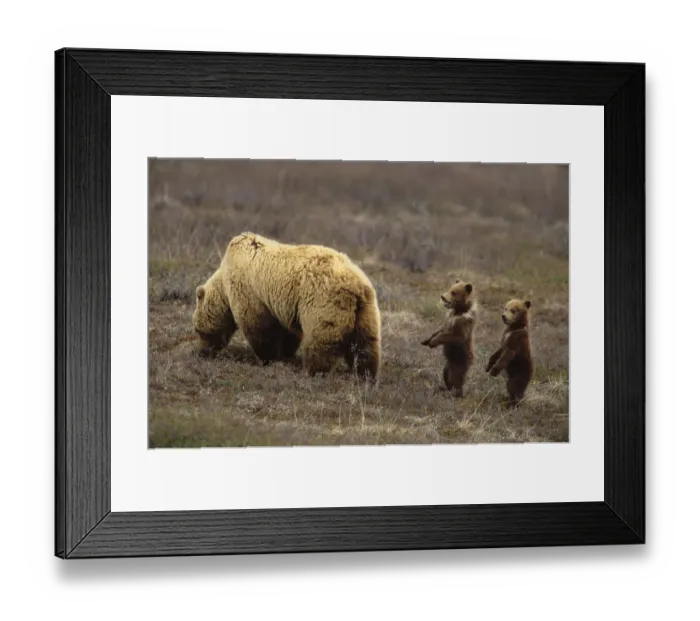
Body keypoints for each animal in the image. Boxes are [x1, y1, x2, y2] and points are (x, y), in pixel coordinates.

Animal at [192, 232, 382, 379]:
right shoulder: (285, 306)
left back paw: (313, 371)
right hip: (366, 312)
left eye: (198, 330)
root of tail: (356, 285)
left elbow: (257, 326)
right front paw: (284, 353)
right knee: (365, 345)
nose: (202, 353)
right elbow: (288, 332)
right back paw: (365, 375)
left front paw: (267, 358)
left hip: (324, 302)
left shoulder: (248, 289)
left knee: (321, 341)